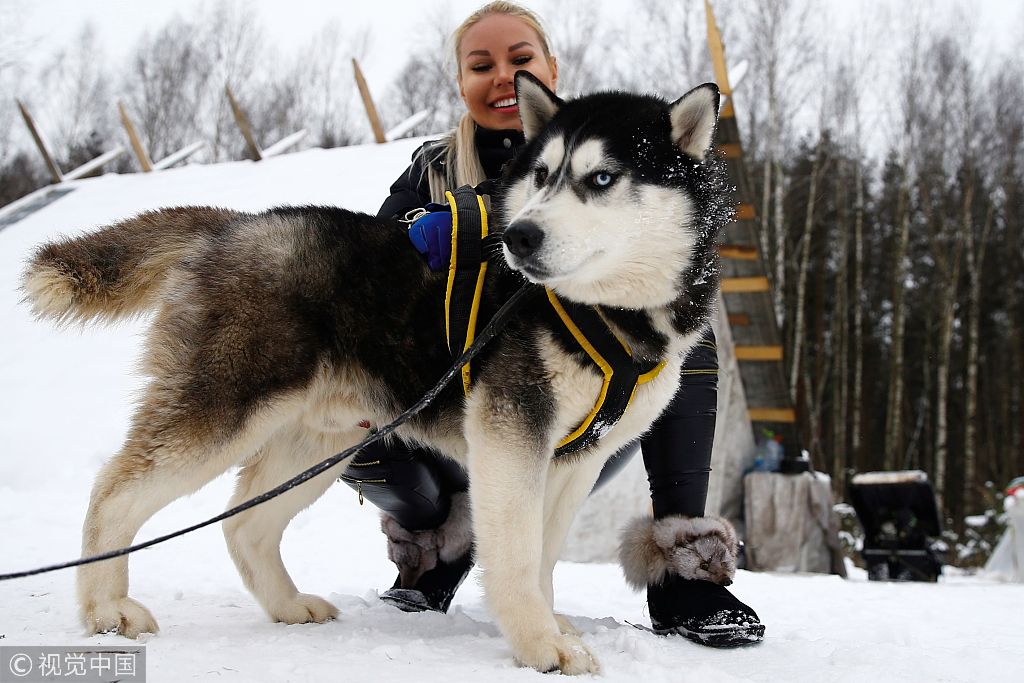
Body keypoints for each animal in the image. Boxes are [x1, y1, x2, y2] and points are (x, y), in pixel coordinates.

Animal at [24, 73, 729, 671]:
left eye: (603, 176)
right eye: (543, 174)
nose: (520, 237)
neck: (605, 309)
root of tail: (233, 226)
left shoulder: (574, 460)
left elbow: (543, 558)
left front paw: (554, 627)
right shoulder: (510, 441)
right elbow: (515, 557)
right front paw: (540, 645)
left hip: (321, 444)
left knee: (244, 523)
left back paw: (287, 605)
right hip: (226, 417)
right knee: (114, 492)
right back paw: (108, 609)